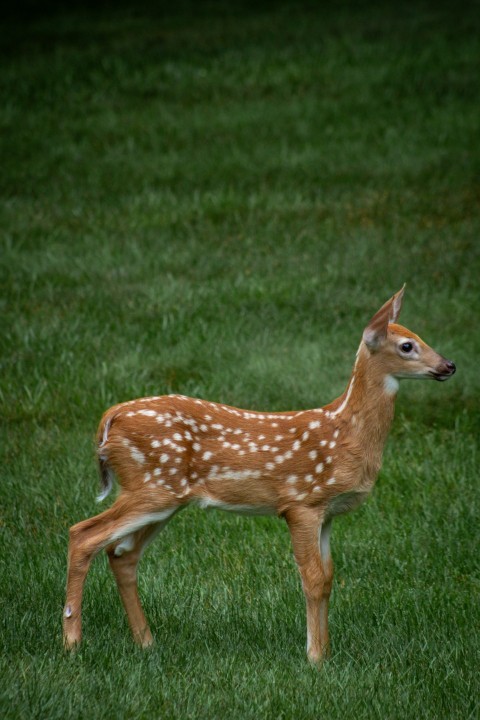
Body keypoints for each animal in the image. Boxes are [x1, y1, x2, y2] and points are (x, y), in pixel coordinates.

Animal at [62, 286, 456, 664]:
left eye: (418, 335)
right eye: (407, 345)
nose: (449, 365)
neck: (346, 433)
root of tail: (110, 418)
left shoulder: (327, 513)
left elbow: (329, 577)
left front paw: (327, 652)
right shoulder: (301, 502)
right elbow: (312, 579)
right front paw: (315, 658)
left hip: (164, 497)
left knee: (121, 553)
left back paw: (146, 643)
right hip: (151, 485)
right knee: (83, 534)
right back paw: (72, 642)